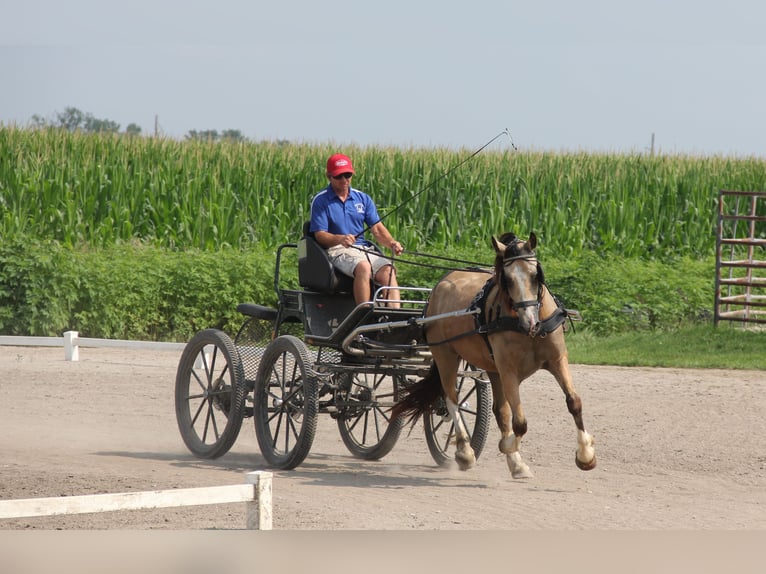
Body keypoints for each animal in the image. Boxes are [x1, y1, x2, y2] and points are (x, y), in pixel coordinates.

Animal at [396, 232, 600, 480]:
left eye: (535, 275)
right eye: (507, 279)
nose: (530, 322)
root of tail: (439, 287)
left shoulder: (557, 361)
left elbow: (574, 402)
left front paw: (586, 455)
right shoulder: (508, 370)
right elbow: (520, 422)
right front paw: (507, 445)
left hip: (492, 369)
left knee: (499, 411)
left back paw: (515, 464)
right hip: (447, 357)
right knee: (452, 401)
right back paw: (465, 451)